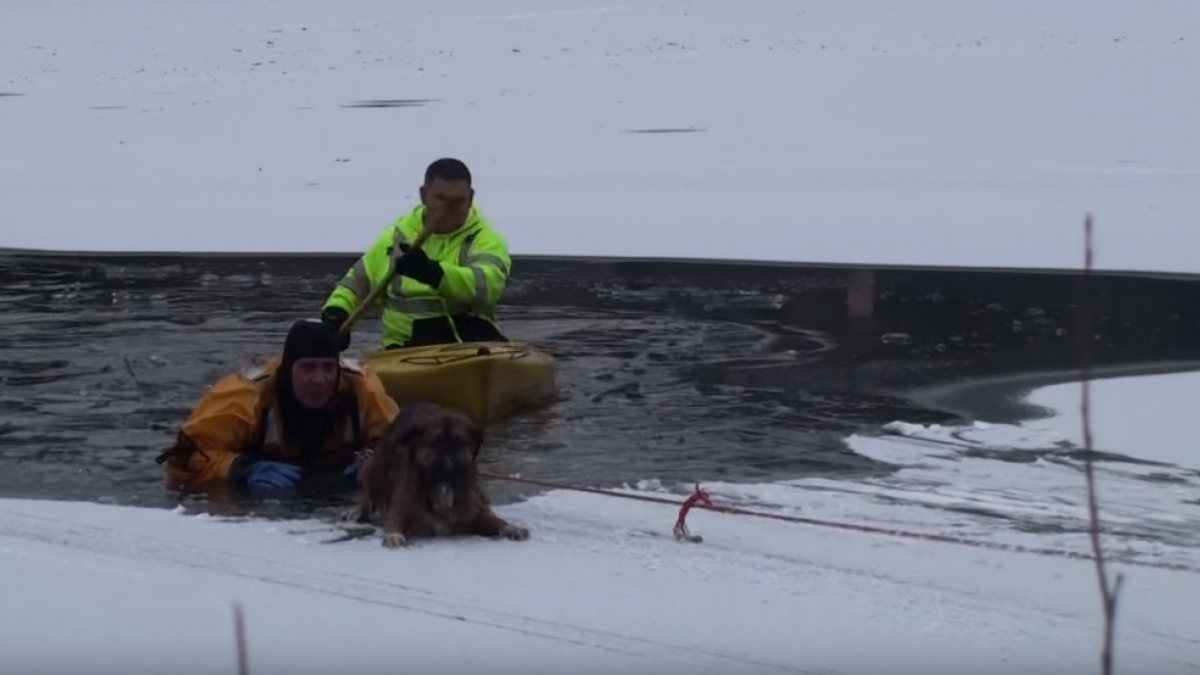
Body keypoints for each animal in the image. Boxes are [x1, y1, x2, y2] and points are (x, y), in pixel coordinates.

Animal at [343, 398, 530, 547]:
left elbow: (497, 522)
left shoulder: (473, 514)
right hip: (370, 466)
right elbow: (394, 522)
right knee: (369, 499)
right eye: (434, 442)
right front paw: (393, 536)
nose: (447, 465)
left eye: (458, 442)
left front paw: (512, 528)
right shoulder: (400, 509)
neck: (441, 484)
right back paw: (356, 512)